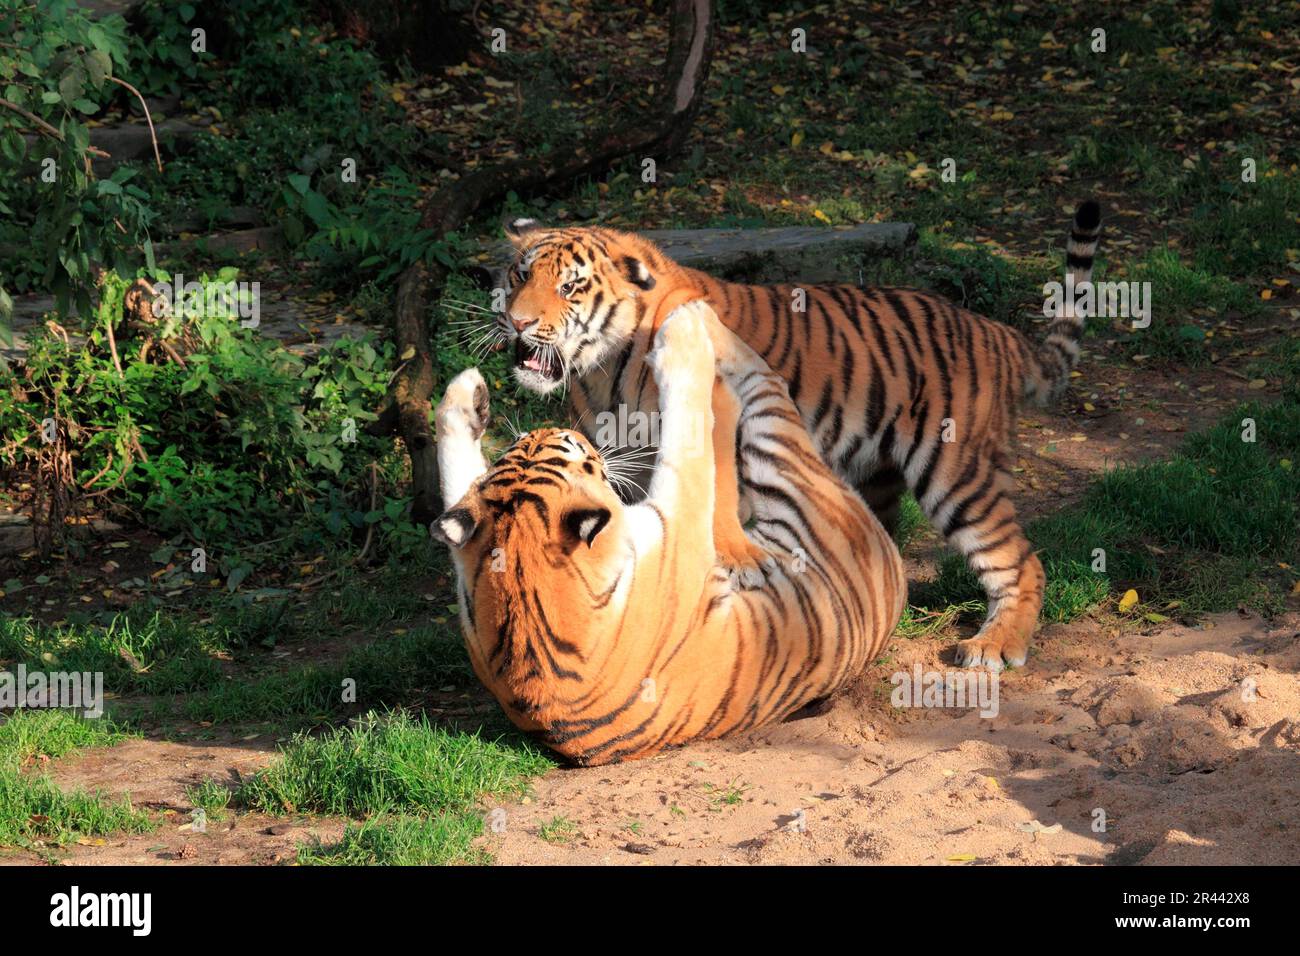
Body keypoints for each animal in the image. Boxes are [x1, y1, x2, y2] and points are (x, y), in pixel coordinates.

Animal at [431, 300, 905, 765]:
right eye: (580, 454)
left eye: (522, 447)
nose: (549, 428)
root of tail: (893, 562)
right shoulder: (679, 529)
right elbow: (689, 435)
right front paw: (685, 346)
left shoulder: (470, 572)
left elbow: (457, 479)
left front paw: (464, 395)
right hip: (784, 456)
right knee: (763, 384)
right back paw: (698, 321)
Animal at [494, 201, 1102, 672]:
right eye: (520, 276)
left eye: (570, 286)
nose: (517, 323)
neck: (602, 367)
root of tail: (997, 331)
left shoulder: (717, 410)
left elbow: (719, 494)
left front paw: (737, 558)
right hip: (878, 474)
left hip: (956, 473)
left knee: (1020, 560)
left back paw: (994, 646)